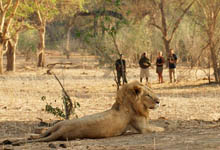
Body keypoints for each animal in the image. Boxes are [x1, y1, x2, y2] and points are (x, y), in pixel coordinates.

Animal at [13, 80, 162, 144]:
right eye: (148, 95)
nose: (159, 101)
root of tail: (62, 130)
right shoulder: (143, 128)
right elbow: (159, 128)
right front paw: (163, 127)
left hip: (57, 125)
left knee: (42, 134)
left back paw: (27, 137)